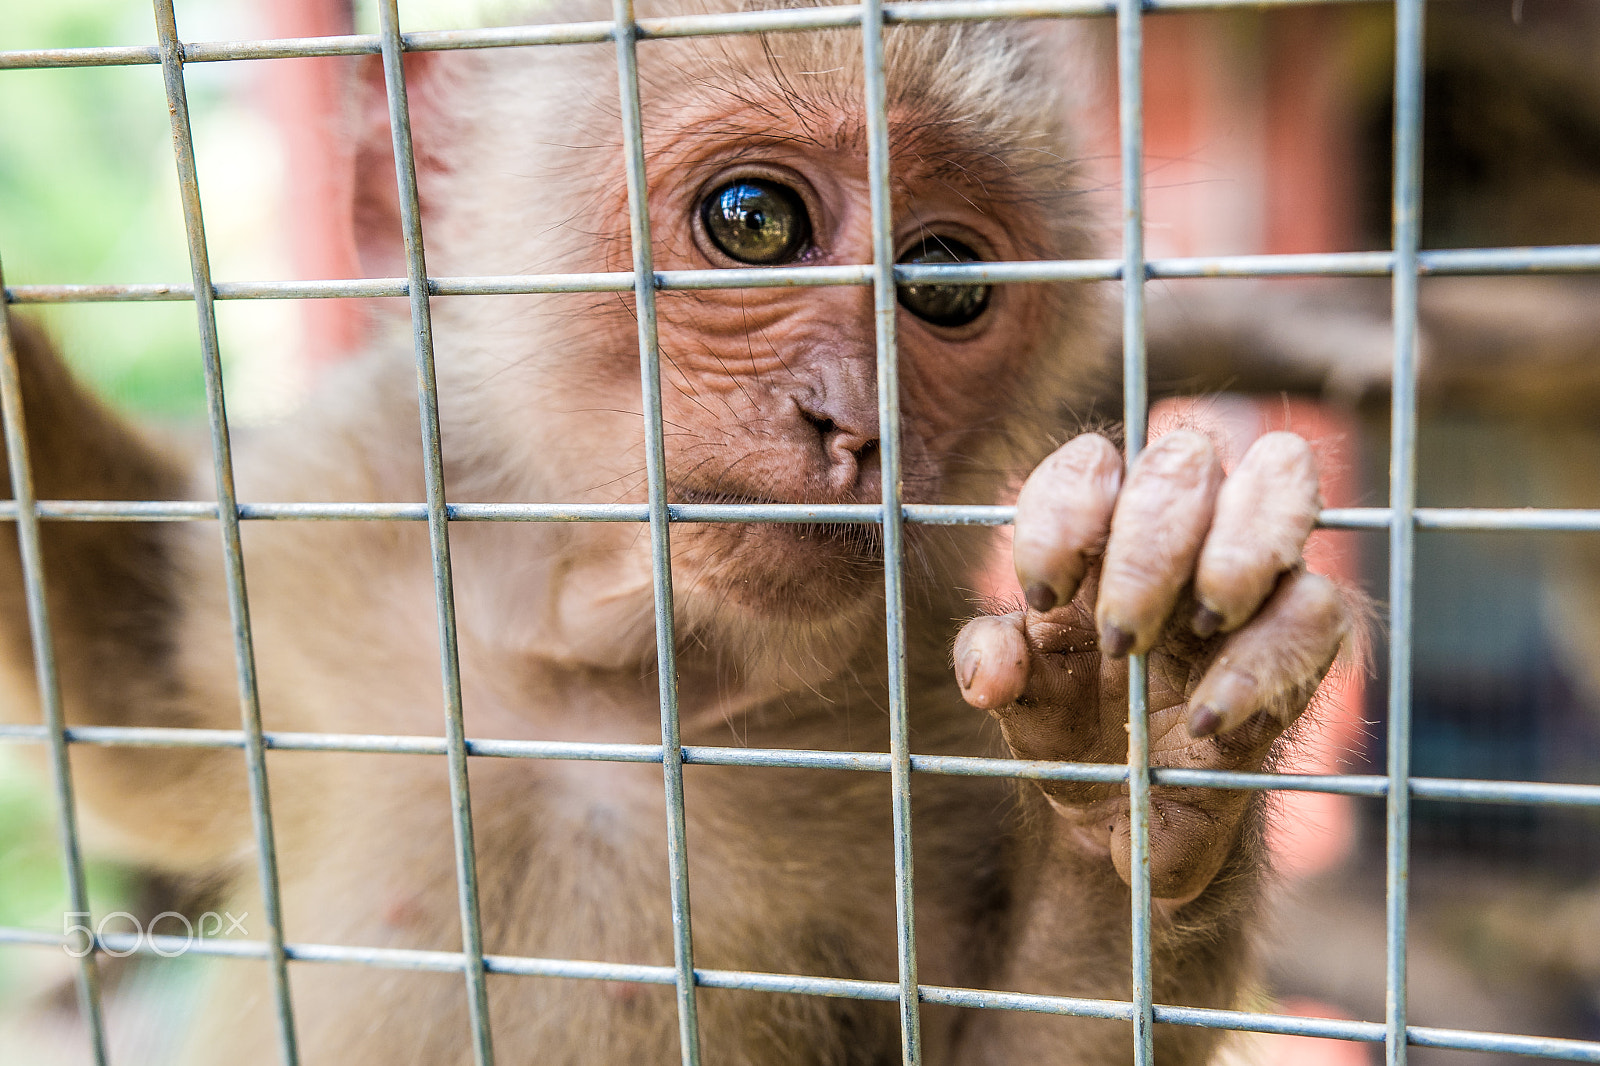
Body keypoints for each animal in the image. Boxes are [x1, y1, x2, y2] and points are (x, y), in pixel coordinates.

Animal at [0, 4, 1350, 1056]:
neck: (611, 676)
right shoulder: (338, 522)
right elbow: (121, 703)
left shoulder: (923, 692)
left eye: (945, 282)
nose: (856, 422)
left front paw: (1159, 717)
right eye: (753, 221)